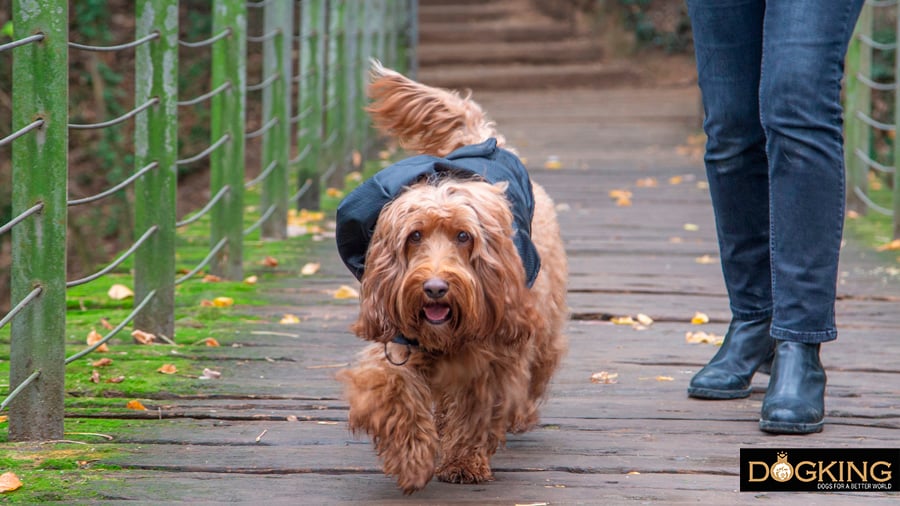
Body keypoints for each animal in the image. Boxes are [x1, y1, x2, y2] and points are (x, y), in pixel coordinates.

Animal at [334, 62, 568, 494]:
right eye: (414, 236)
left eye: (463, 236)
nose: (435, 289)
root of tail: (484, 141)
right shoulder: (397, 342)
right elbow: (394, 393)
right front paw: (411, 457)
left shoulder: (494, 359)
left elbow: (477, 409)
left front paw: (463, 461)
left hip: (542, 320)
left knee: (539, 366)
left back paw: (520, 415)